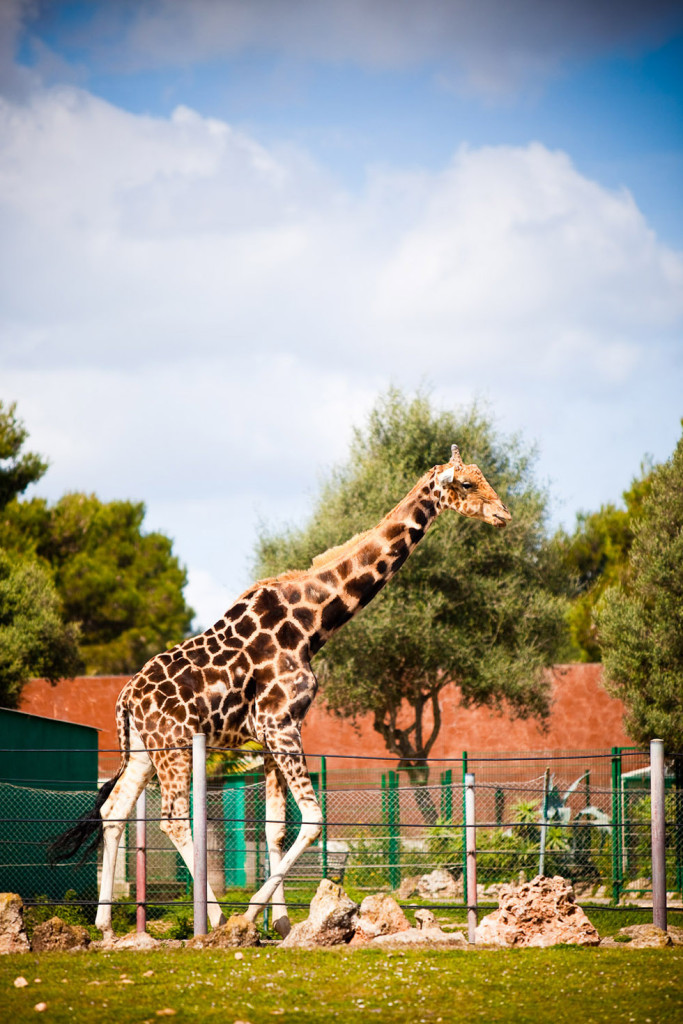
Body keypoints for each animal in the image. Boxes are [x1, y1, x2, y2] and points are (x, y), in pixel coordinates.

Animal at [50, 440, 509, 937]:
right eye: (467, 483)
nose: (503, 513)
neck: (313, 622)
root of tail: (125, 698)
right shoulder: (281, 724)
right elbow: (312, 820)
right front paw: (252, 914)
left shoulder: (269, 734)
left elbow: (274, 826)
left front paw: (283, 923)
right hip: (174, 748)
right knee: (173, 818)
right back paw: (213, 916)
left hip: (143, 749)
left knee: (113, 811)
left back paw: (104, 924)